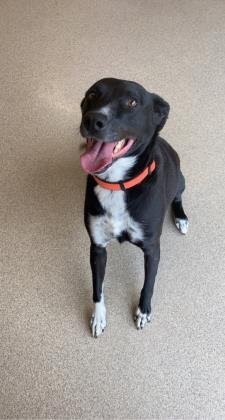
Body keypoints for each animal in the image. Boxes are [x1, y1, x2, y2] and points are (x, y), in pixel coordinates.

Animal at [79, 77, 188, 336]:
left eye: (132, 102)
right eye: (92, 94)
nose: (92, 120)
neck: (116, 184)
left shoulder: (152, 248)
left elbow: (149, 283)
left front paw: (143, 311)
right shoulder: (97, 246)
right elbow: (97, 287)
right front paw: (98, 317)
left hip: (180, 179)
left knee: (178, 197)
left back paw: (181, 218)